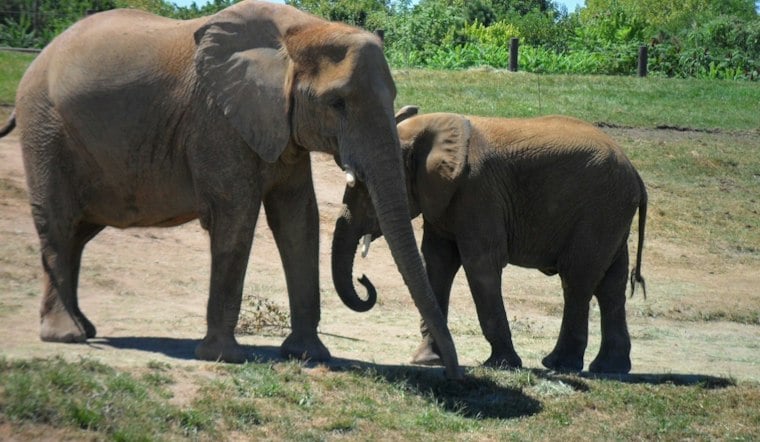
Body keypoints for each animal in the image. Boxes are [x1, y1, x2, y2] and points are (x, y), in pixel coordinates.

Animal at [0, 2, 462, 378]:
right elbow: (236, 215)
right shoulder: (218, 121)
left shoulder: (278, 124)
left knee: (79, 232)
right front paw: (224, 357)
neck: (300, 31)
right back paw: (67, 336)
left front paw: (309, 356)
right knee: (59, 224)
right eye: (337, 104)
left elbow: (299, 219)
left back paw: (84, 327)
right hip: (45, 131)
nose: (454, 375)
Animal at [332, 106, 647, 373]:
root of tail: (636, 174)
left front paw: (501, 364)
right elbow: (437, 263)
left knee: (577, 279)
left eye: (366, 189)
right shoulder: (445, 199)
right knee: (611, 285)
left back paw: (559, 364)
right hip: (612, 214)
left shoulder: (477, 192)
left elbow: (481, 264)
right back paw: (609, 368)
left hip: (600, 210)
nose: (364, 279)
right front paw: (427, 360)